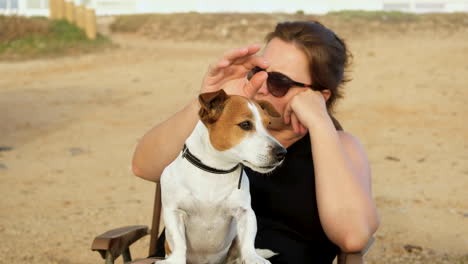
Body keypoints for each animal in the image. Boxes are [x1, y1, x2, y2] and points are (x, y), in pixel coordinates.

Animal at [158, 89, 286, 264]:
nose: (282, 153)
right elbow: (178, 242)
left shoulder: (245, 213)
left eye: (269, 125)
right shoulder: (174, 211)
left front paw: (253, 258)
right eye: (245, 125)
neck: (215, 171)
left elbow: (248, 241)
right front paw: (176, 260)